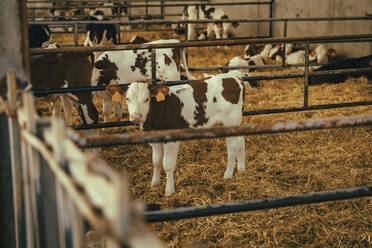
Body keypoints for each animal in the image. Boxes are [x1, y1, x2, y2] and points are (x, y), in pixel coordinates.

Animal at [106, 71, 246, 196]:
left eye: (146, 99)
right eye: (128, 99)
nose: (136, 116)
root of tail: (234, 77)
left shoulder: (171, 139)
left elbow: (167, 164)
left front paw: (169, 191)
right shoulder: (154, 138)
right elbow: (156, 161)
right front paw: (154, 183)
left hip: (231, 121)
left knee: (233, 147)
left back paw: (228, 174)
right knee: (240, 141)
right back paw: (241, 169)